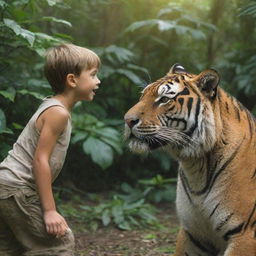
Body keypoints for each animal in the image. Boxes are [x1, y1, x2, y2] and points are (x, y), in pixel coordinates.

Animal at [123, 63, 255, 254]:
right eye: (143, 95)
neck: (196, 166)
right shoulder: (192, 232)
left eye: (164, 99)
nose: (127, 120)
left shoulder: (244, 235)